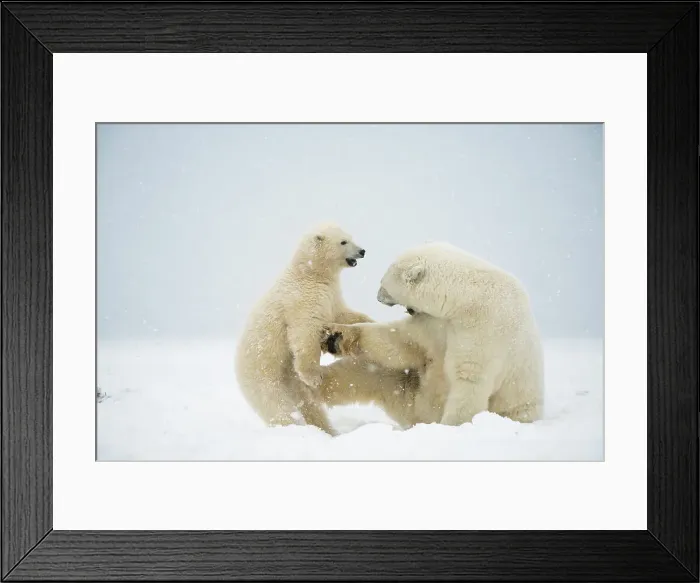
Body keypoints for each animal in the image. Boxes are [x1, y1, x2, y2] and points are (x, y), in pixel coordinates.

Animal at [235, 222, 372, 436]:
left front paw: (369, 321)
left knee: (308, 403)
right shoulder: (303, 299)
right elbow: (304, 332)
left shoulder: (330, 295)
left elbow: (340, 314)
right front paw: (314, 377)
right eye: (343, 241)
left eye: (351, 237)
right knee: (276, 403)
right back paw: (291, 426)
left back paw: (327, 430)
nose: (362, 251)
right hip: (263, 372)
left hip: (289, 378)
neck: (308, 273)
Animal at [318, 241, 544, 427]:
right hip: (410, 393)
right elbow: (405, 340)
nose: (378, 297)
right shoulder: (437, 323)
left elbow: (470, 379)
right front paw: (335, 335)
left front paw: (451, 426)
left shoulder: (487, 328)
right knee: (365, 372)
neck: (469, 298)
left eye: (384, 281)